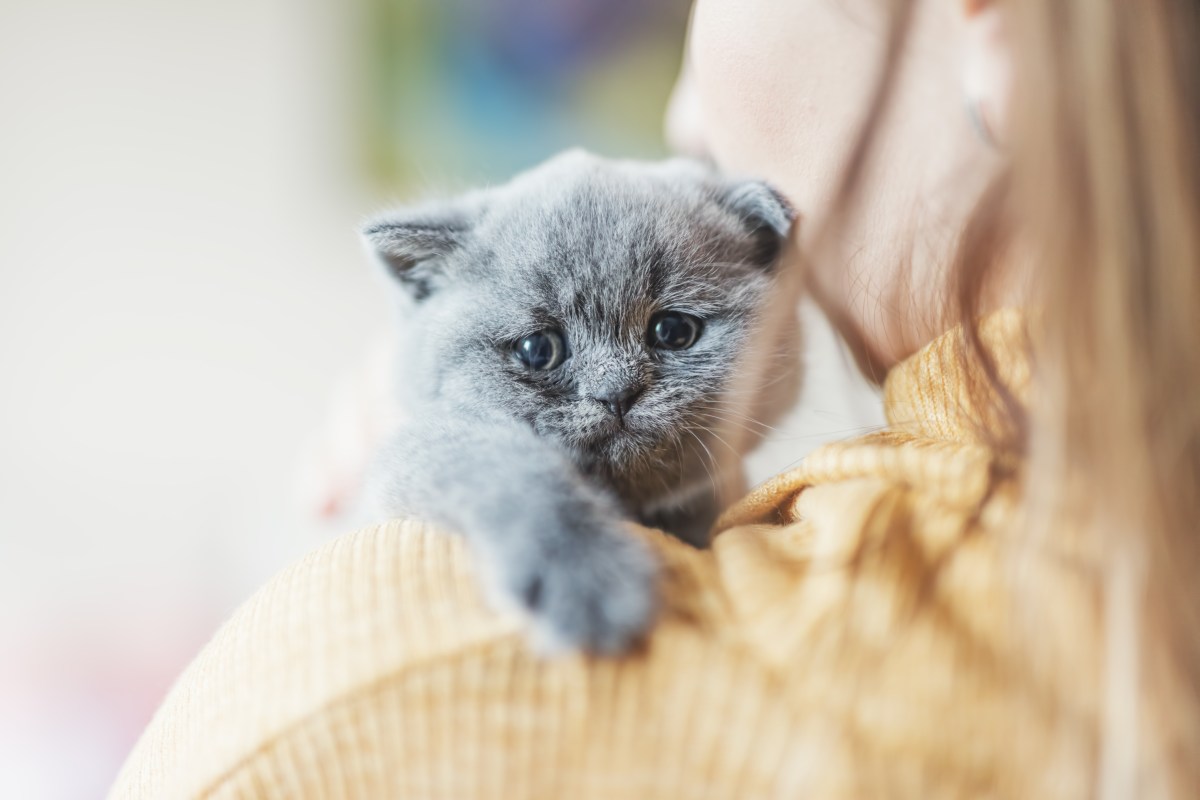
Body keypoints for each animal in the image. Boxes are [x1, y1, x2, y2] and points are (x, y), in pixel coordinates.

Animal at [360, 151, 801, 657]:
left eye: (673, 330)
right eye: (537, 349)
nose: (616, 392)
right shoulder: (420, 451)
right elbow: (503, 465)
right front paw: (586, 577)